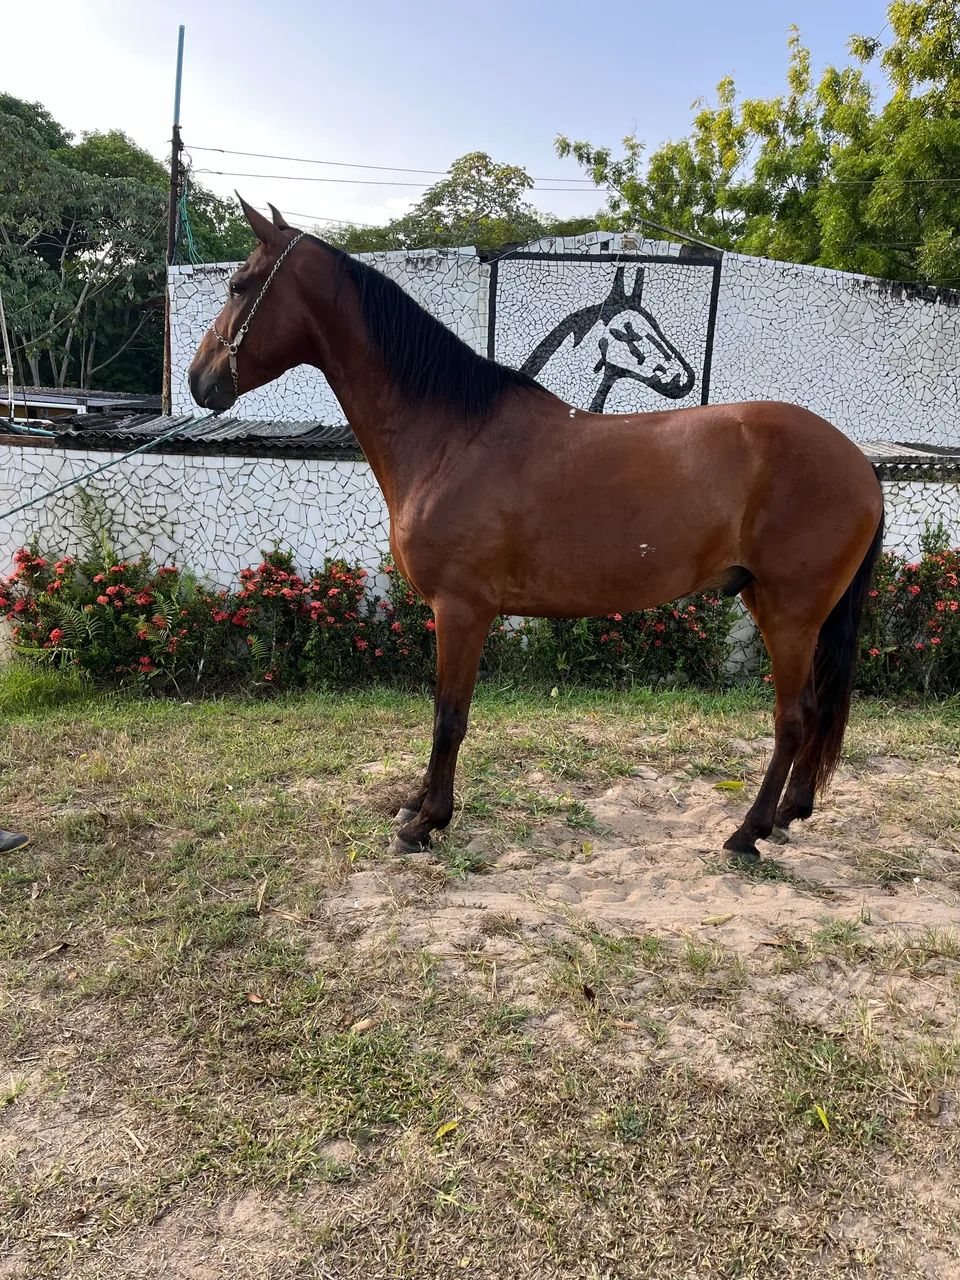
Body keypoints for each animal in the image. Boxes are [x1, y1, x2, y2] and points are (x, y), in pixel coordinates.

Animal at [189, 200, 885, 865]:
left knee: (793, 718)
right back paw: (789, 813)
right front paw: (415, 804)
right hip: (783, 609)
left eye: (239, 286)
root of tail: (859, 463)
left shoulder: (462, 610)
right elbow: (441, 712)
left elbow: (449, 717)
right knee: (815, 712)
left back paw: (748, 832)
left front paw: (426, 823)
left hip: (789, 614)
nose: (200, 380)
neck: (452, 435)